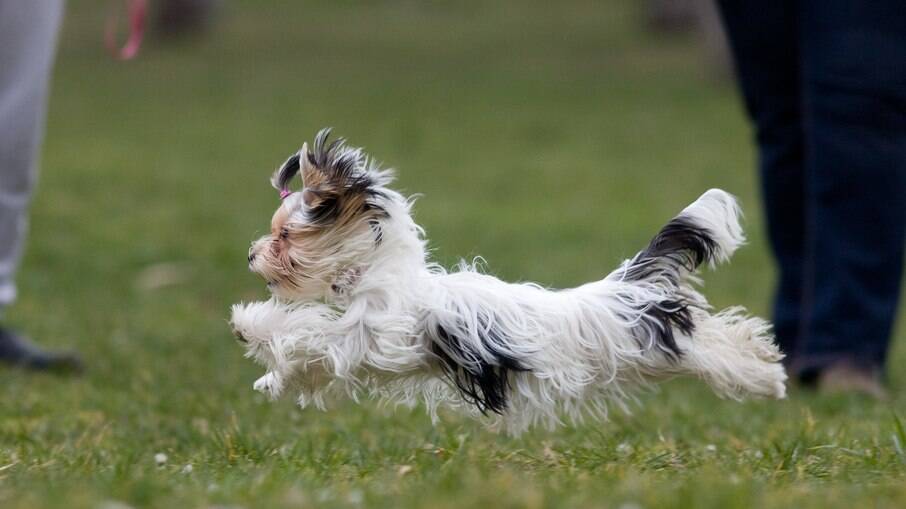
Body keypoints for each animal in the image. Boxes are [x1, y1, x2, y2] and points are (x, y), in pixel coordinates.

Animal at [231, 128, 784, 432]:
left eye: (284, 237)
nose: (252, 253)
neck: (382, 274)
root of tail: (627, 288)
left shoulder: (371, 336)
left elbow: (310, 335)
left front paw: (250, 325)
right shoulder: (359, 351)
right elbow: (309, 356)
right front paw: (268, 373)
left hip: (658, 342)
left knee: (716, 342)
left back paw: (764, 372)